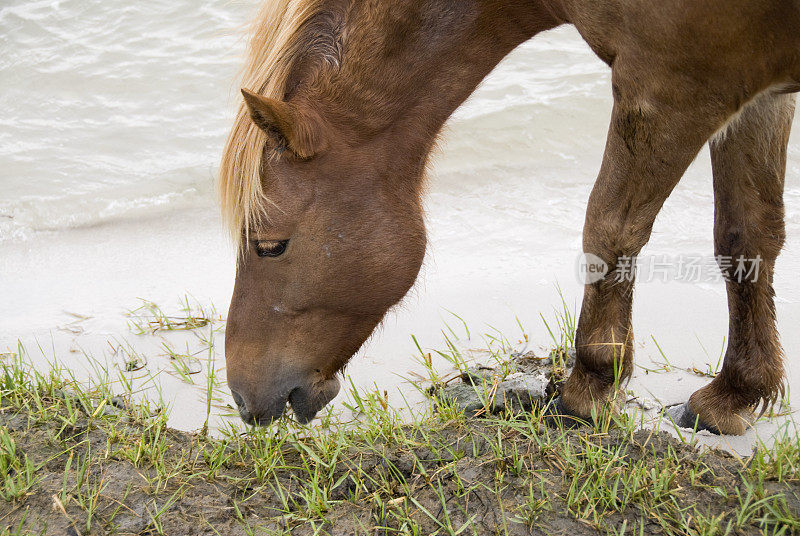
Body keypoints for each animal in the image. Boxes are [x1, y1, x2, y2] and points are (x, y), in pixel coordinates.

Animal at [219, 0, 800, 436]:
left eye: (270, 245)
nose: (244, 398)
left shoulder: (671, 87)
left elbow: (610, 227)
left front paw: (589, 387)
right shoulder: (755, 96)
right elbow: (746, 234)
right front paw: (735, 395)